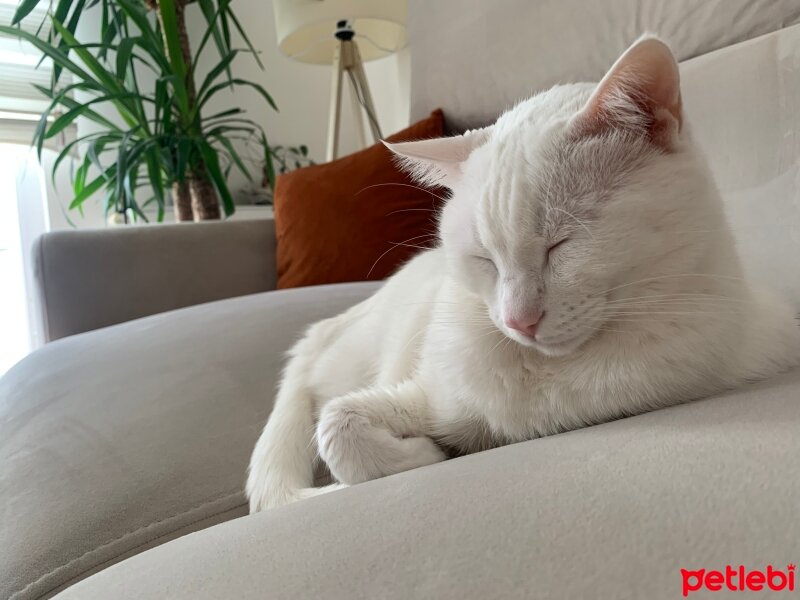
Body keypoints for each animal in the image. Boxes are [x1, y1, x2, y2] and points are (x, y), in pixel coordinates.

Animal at [245, 35, 800, 510]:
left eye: (561, 244)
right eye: (484, 259)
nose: (519, 321)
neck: (547, 384)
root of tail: (327, 327)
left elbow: (340, 426)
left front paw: (428, 451)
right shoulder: (427, 393)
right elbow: (338, 423)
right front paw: (424, 452)